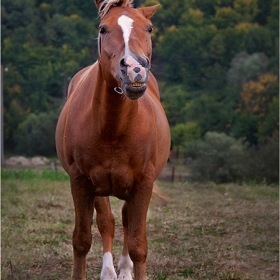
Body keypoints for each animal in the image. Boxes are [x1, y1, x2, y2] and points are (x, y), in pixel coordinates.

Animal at [54, 1, 168, 278]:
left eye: (149, 28)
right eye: (102, 29)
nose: (135, 69)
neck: (114, 130)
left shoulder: (143, 183)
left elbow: (138, 244)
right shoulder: (81, 181)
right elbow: (82, 239)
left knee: (126, 219)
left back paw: (125, 270)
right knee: (109, 221)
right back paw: (109, 271)